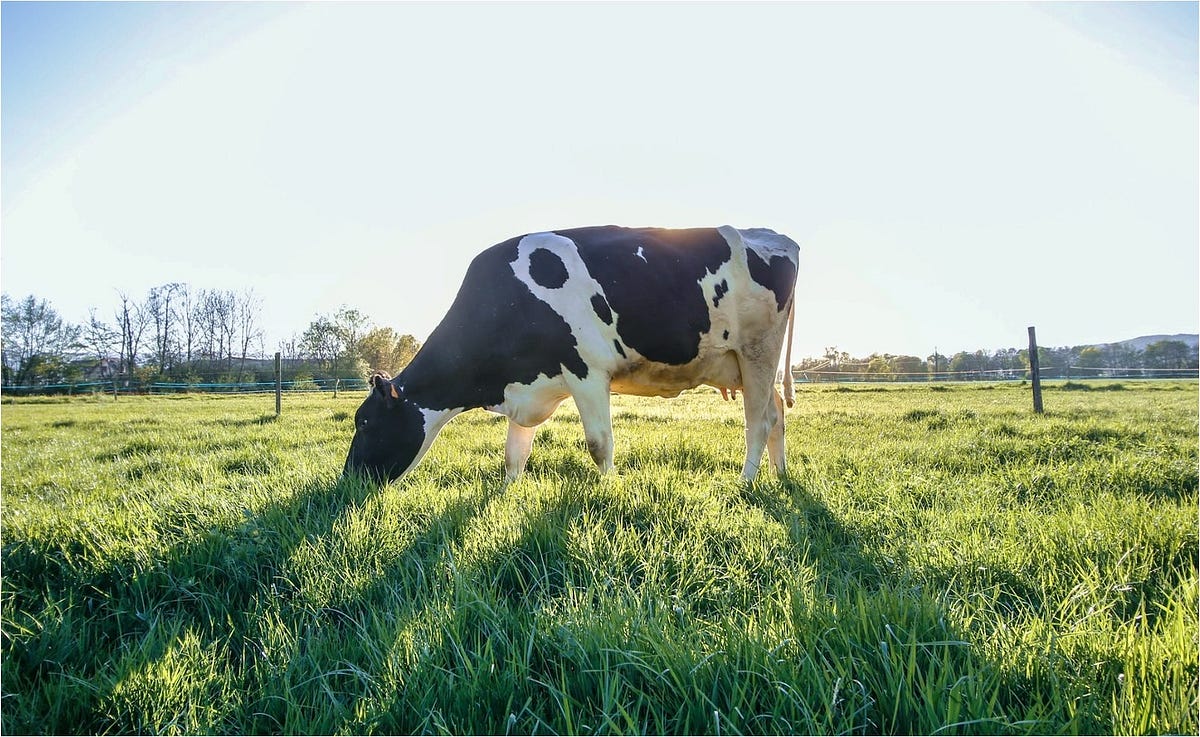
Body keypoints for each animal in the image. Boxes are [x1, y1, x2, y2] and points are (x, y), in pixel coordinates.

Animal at [343, 225, 799, 484]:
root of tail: (773, 235)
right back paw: (780, 475)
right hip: (743, 364)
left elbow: (600, 444)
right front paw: (508, 494)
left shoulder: (587, 371)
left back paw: (746, 482)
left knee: (758, 423)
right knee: (776, 413)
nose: (348, 479)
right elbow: (514, 455)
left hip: (758, 351)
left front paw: (610, 490)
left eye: (363, 422)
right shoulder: (526, 383)